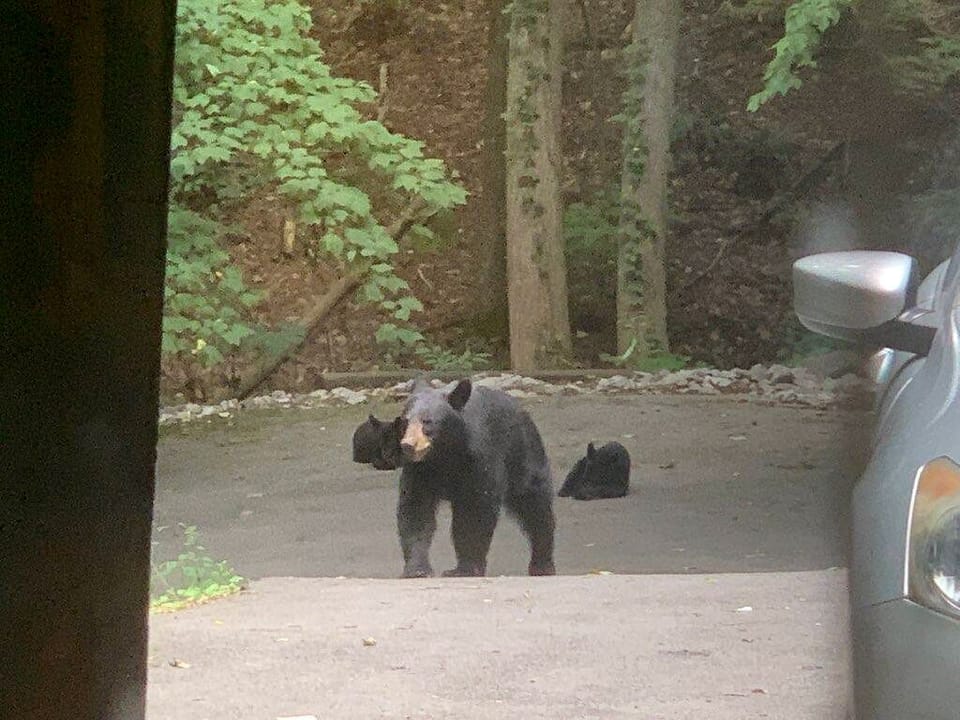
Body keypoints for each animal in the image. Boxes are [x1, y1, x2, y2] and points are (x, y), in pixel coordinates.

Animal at [395, 377, 556, 578]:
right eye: (405, 422)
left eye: (427, 422)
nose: (408, 445)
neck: (445, 454)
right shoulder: (419, 469)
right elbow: (415, 510)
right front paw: (417, 570)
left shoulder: (480, 460)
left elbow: (476, 512)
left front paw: (468, 568)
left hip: (523, 455)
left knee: (535, 506)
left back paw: (542, 565)